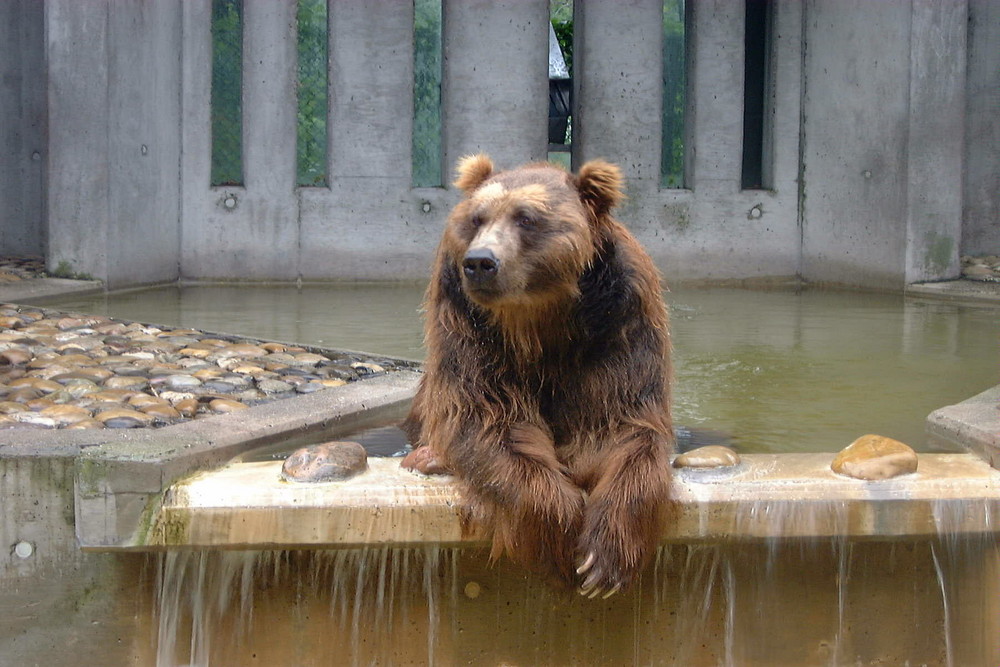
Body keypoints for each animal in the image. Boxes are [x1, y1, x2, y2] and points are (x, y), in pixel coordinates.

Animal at [402, 157, 676, 600]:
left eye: (526, 218)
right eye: (477, 218)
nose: (480, 262)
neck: (538, 322)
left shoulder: (619, 325)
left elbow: (620, 427)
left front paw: (604, 559)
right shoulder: (468, 326)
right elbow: (490, 418)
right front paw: (563, 544)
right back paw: (428, 457)